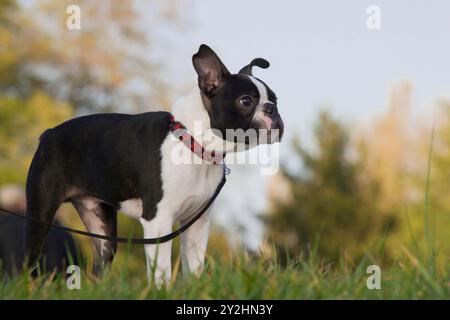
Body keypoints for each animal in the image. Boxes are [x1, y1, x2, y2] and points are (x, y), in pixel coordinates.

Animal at [24, 43, 284, 284]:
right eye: (246, 101)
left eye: (275, 99)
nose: (272, 109)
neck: (195, 145)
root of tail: (48, 134)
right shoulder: (158, 222)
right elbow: (162, 270)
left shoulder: (197, 224)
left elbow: (194, 266)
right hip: (41, 215)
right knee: (30, 259)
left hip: (101, 224)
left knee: (99, 266)